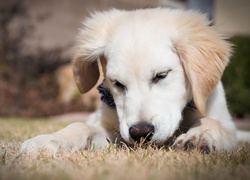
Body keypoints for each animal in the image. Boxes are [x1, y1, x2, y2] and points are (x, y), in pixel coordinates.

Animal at [20, 8, 250, 155]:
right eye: (117, 83)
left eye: (161, 75)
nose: (140, 133)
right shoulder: (113, 128)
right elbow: (80, 125)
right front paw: (50, 139)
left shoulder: (225, 123)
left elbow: (213, 123)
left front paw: (199, 136)